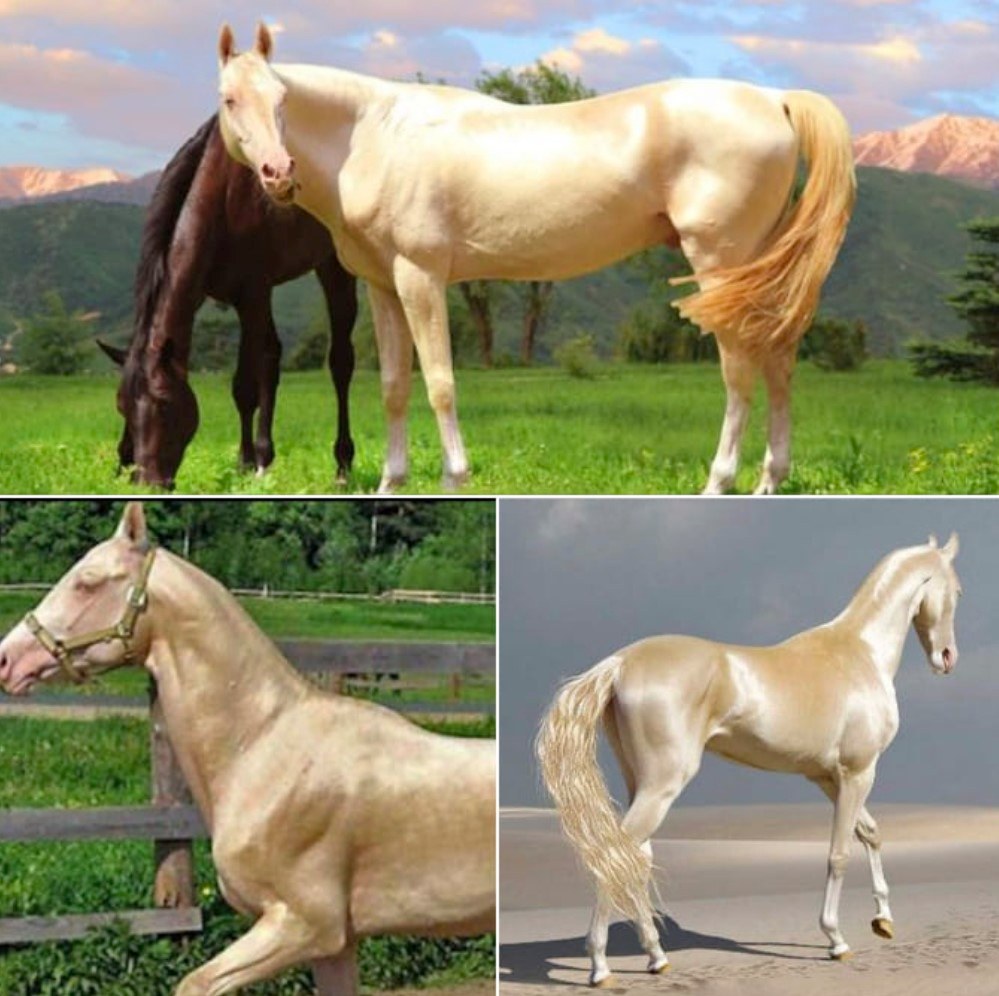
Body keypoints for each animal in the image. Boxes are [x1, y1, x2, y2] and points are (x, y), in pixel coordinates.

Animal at [0, 503, 495, 996]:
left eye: (87, 582)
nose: (7, 660)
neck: (262, 749)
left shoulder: (305, 926)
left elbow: (194, 984)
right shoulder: (336, 947)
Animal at [101, 113, 358, 489]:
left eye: (164, 403)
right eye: (121, 406)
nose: (148, 483)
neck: (221, 194)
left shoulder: (252, 292)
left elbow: (243, 387)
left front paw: (245, 462)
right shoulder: (206, 292)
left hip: (333, 264)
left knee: (340, 361)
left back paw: (341, 465)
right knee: (272, 355)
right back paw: (267, 459)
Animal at [215, 23, 855, 495]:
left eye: (281, 99)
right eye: (230, 99)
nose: (278, 173)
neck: (374, 134)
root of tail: (776, 99)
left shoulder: (421, 277)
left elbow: (440, 383)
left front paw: (455, 479)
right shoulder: (382, 285)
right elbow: (395, 385)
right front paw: (391, 484)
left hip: (719, 263)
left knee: (740, 370)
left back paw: (720, 481)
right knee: (779, 361)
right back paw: (770, 480)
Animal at [536, 535, 960, 985]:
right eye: (957, 591)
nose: (947, 657)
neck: (860, 654)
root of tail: (620, 664)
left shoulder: (829, 778)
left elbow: (871, 834)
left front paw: (883, 920)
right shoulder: (858, 772)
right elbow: (839, 854)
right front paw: (836, 939)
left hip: (641, 784)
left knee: (633, 859)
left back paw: (656, 956)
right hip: (662, 786)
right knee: (615, 858)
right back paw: (600, 966)